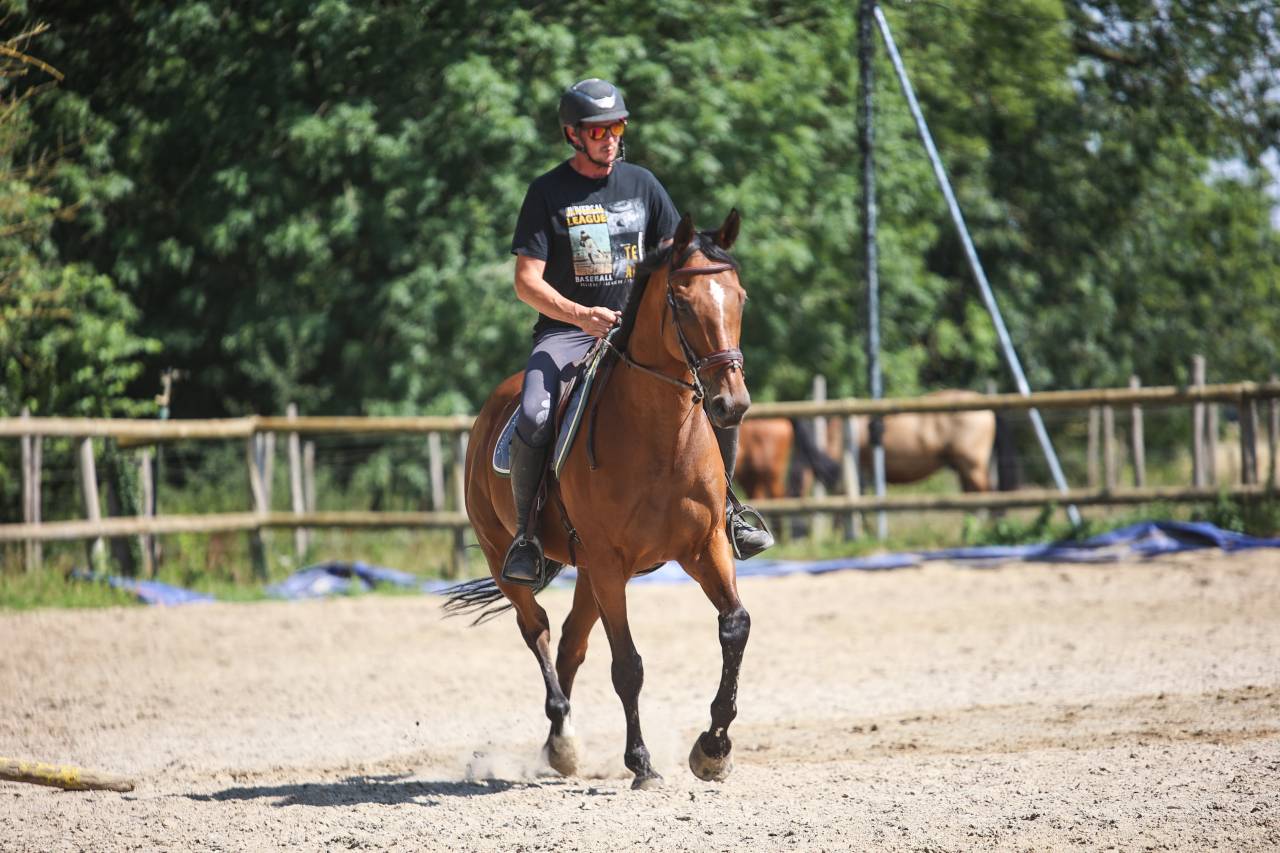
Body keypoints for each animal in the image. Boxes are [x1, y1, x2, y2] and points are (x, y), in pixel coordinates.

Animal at [446, 210, 753, 790]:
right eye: (682, 304)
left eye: (740, 297)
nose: (731, 404)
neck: (662, 440)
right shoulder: (611, 564)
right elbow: (627, 665)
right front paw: (643, 764)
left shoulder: (704, 547)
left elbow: (735, 626)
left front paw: (714, 749)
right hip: (509, 559)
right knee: (538, 631)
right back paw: (563, 739)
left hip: (588, 570)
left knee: (570, 643)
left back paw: (558, 746)